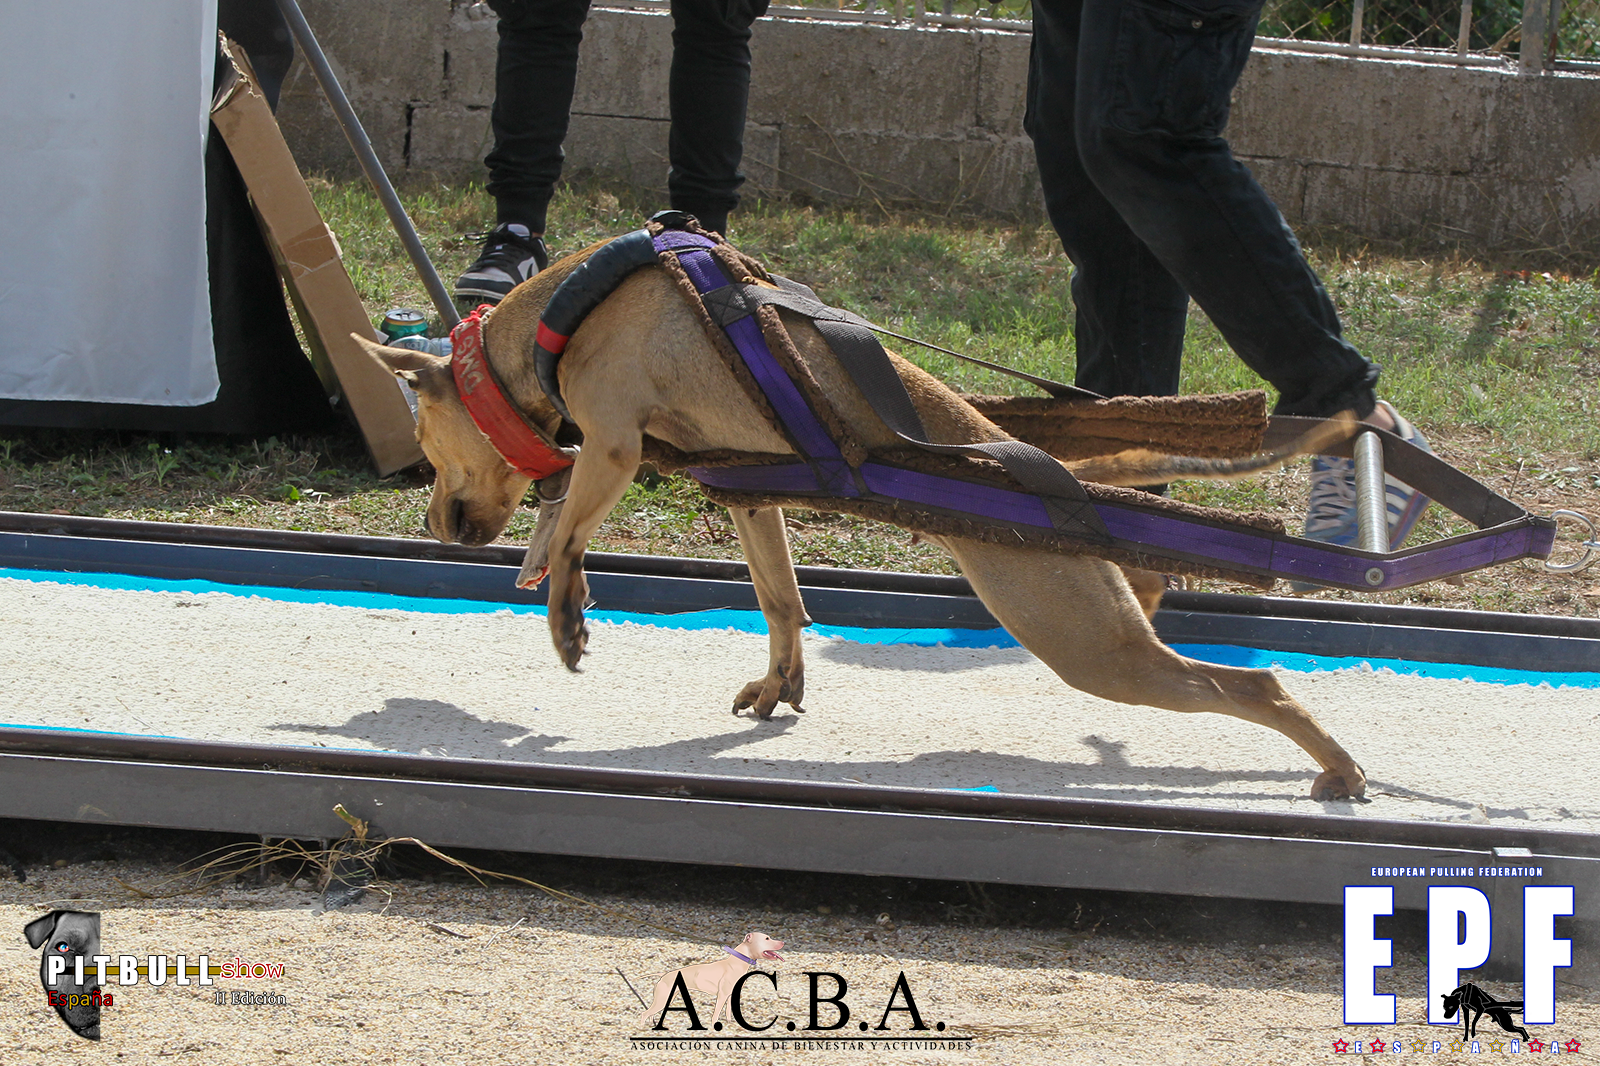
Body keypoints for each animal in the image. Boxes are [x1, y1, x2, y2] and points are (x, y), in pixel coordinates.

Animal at [356, 239, 1367, 800]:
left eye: (425, 438)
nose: (435, 525)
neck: (562, 310)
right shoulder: (750, 491)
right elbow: (779, 599)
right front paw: (778, 683)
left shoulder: (611, 445)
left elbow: (570, 530)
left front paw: (565, 612)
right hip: (1092, 615)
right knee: (1159, 596)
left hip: (1082, 640)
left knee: (1253, 685)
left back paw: (1338, 768)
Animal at [640, 931, 784, 1027]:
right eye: (767, 938)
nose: (783, 942)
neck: (737, 961)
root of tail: (663, 975)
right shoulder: (722, 995)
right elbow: (716, 1014)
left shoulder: (730, 995)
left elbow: (728, 1011)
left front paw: (729, 1023)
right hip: (662, 1000)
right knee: (644, 1014)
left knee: (651, 1014)